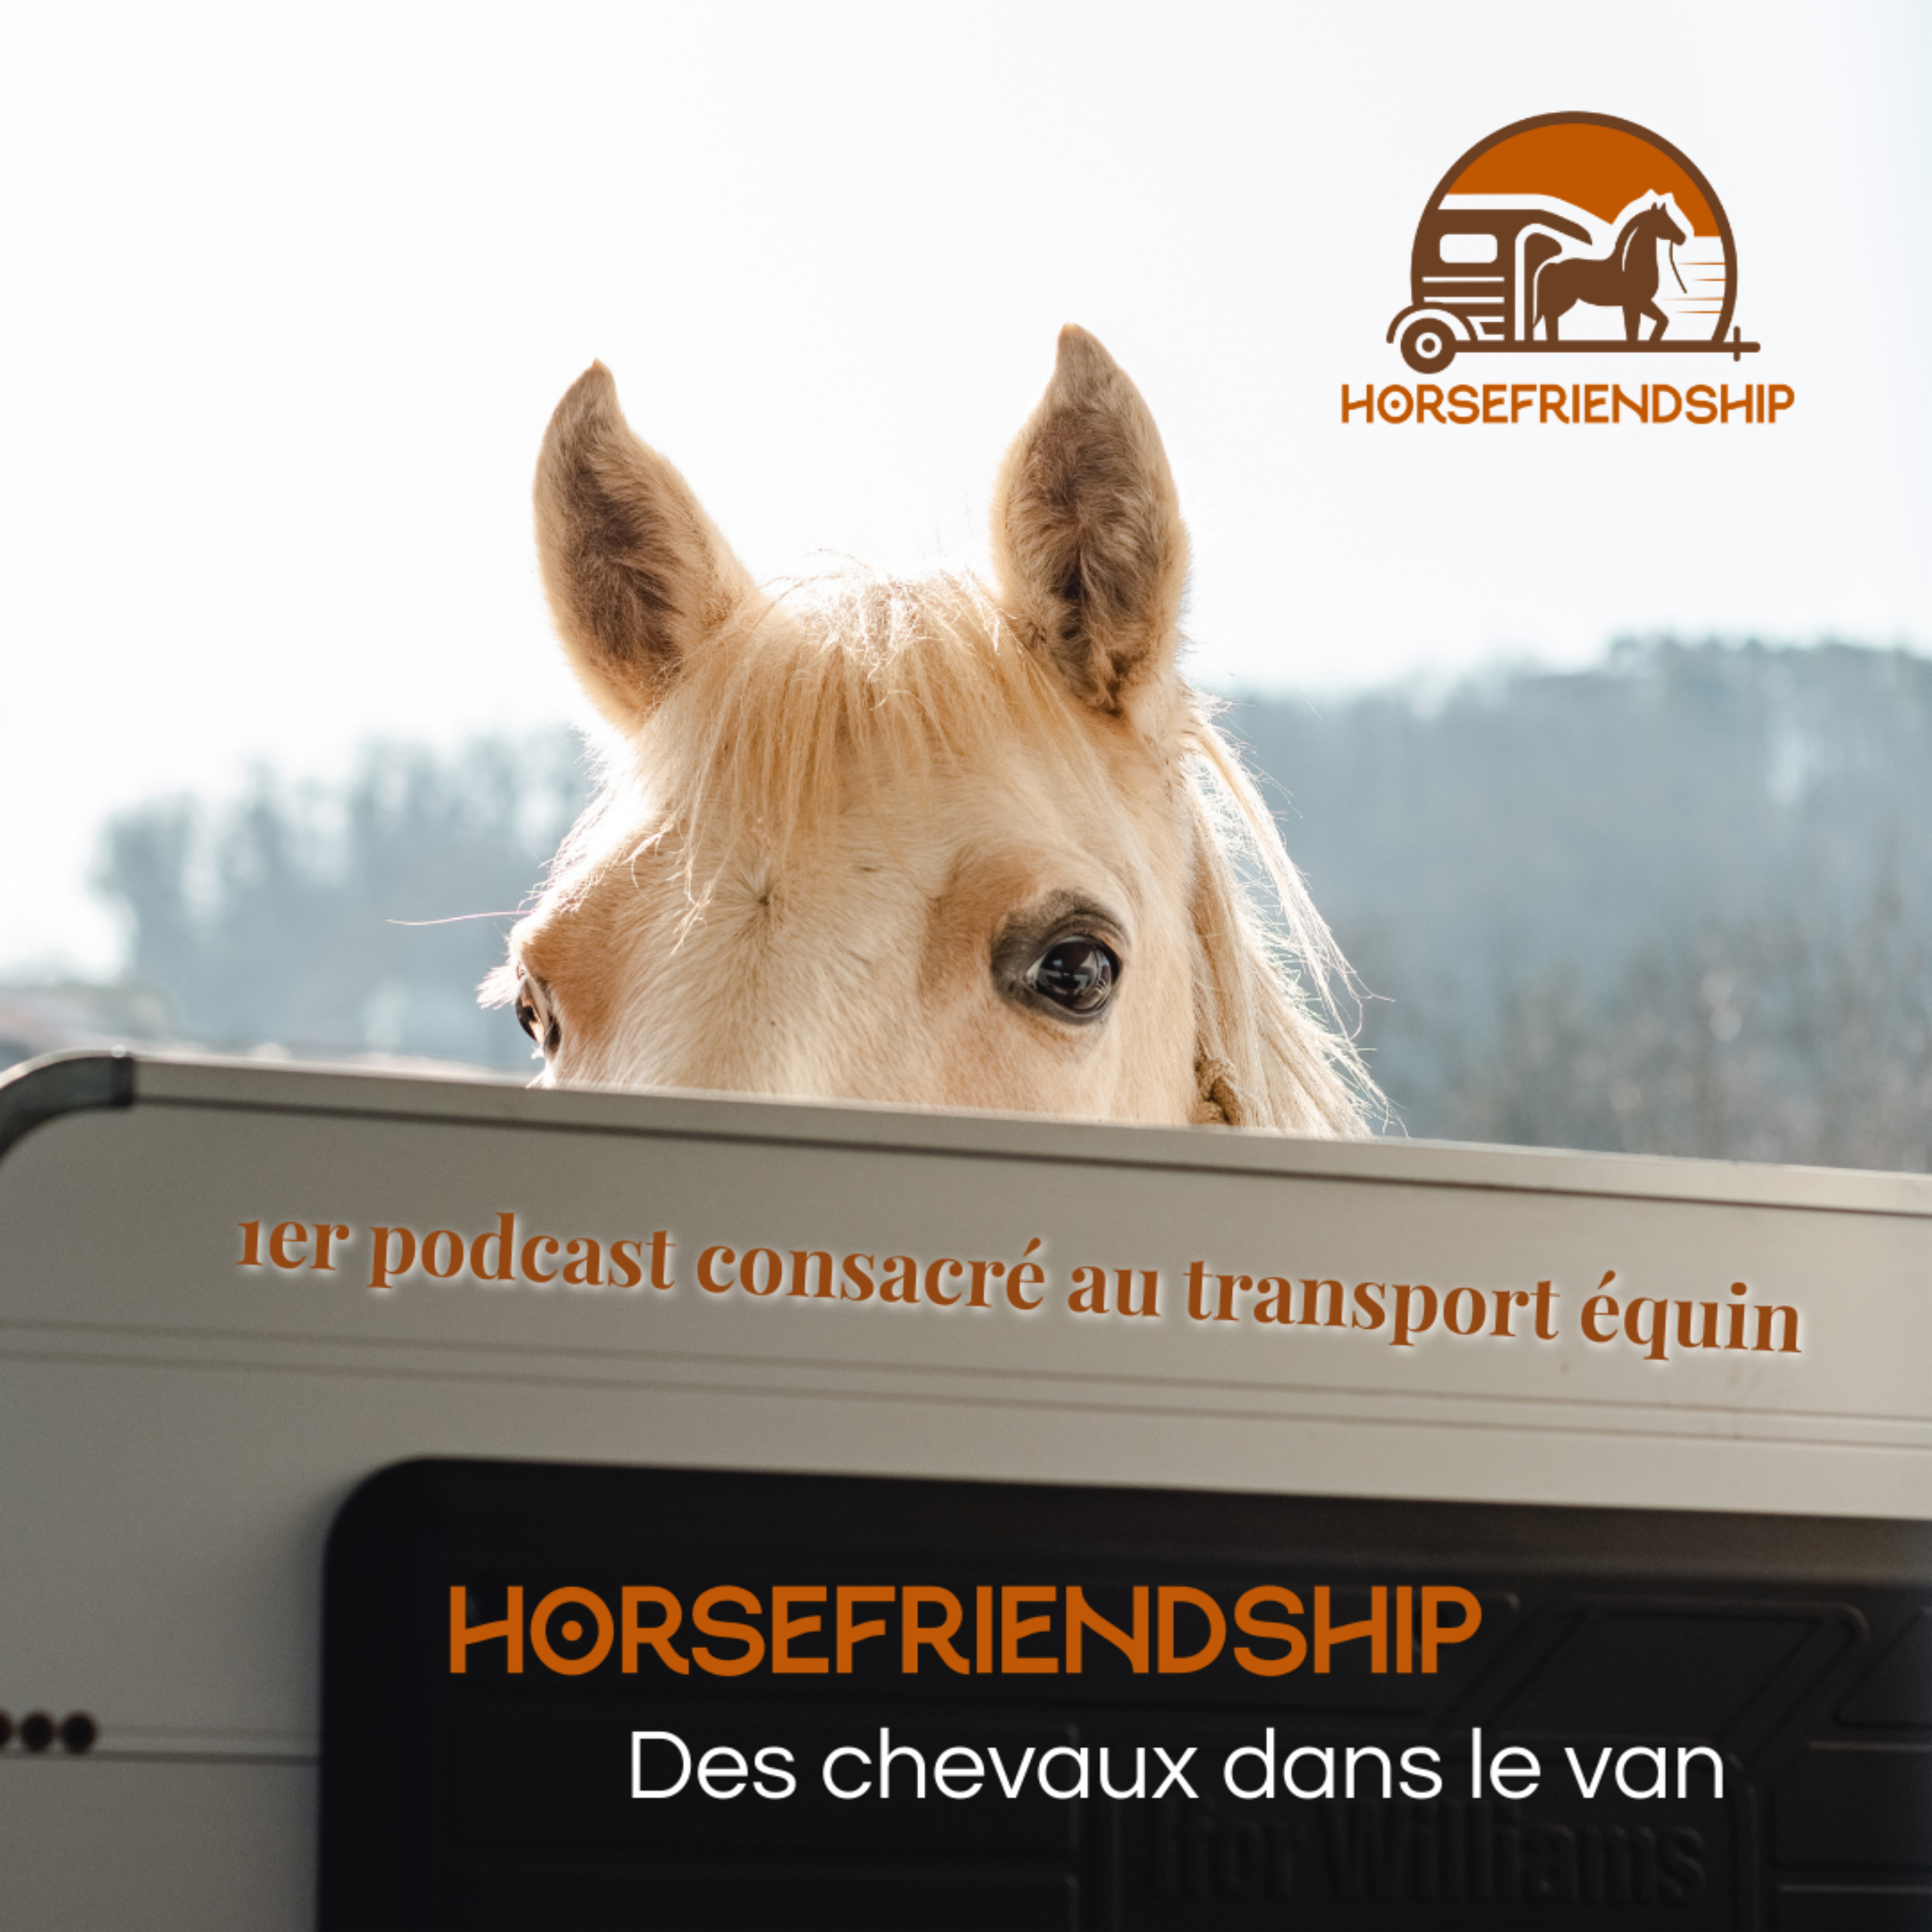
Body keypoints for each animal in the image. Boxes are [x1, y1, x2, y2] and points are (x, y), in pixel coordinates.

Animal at [1532, 199, 1689, 343]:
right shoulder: (1636, 303)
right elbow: (1634, 331)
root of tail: (1554, 266)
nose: (1683, 238)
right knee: (1550, 317)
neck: (1632, 268)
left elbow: (1661, 321)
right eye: (1665, 221)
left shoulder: (1640, 304)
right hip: (1564, 300)